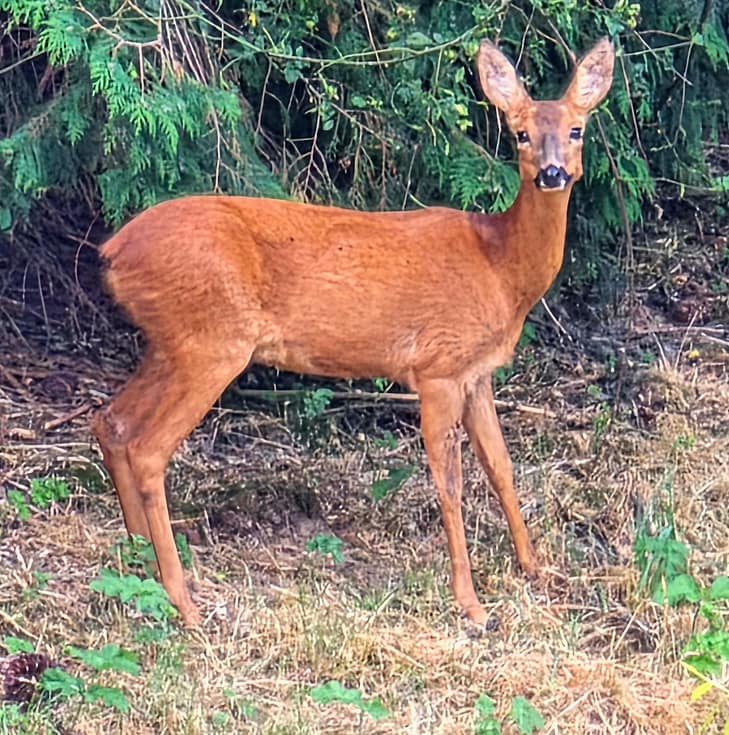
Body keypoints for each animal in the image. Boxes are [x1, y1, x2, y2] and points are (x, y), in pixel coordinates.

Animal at [91, 37, 614, 628]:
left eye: (576, 129)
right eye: (520, 133)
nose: (551, 173)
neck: (501, 268)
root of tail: (112, 252)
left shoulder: (476, 373)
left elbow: (501, 468)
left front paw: (537, 569)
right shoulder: (436, 367)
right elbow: (450, 484)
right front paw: (471, 603)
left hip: (171, 342)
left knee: (111, 421)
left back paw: (140, 565)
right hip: (212, 341)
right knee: (148, 448)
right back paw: (185, 601)